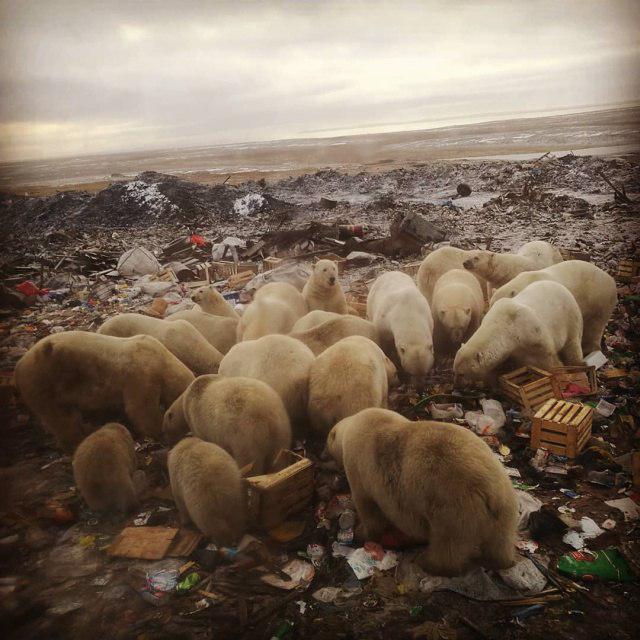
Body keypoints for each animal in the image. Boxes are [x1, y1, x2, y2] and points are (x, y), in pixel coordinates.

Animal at [15, 332, 192, 452]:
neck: (162, 360)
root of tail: (19, 366)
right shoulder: (142, 375)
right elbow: (140, 409)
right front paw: (159, 431)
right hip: (45, 382)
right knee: (61, 418)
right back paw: (78, 440)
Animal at [161, 376, 292, 476]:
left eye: (165, 432)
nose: (168, 445)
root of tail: (265, 415)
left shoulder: (197, 422)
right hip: (281, 428)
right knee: (278, 457)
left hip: (245, 435)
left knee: (250, 462)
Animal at [328, 408, 516, 576]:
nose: (324, 456)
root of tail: (489, 491)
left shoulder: (359, 468)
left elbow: (369, 508)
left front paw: (360, 533)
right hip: (504, 505)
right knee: (501, 540)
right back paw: (499, 561)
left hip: (454, 508)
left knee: (448, 543)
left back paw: (428, 563)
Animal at [452, 278, 584, 380]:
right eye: (454, 371)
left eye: (461, 374)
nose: (457, 385)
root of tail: (560, 285)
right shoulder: (514, 350)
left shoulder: (533, 333)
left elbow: (549, 358)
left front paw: (563, 376)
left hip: (570, 317)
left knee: (573, 344)